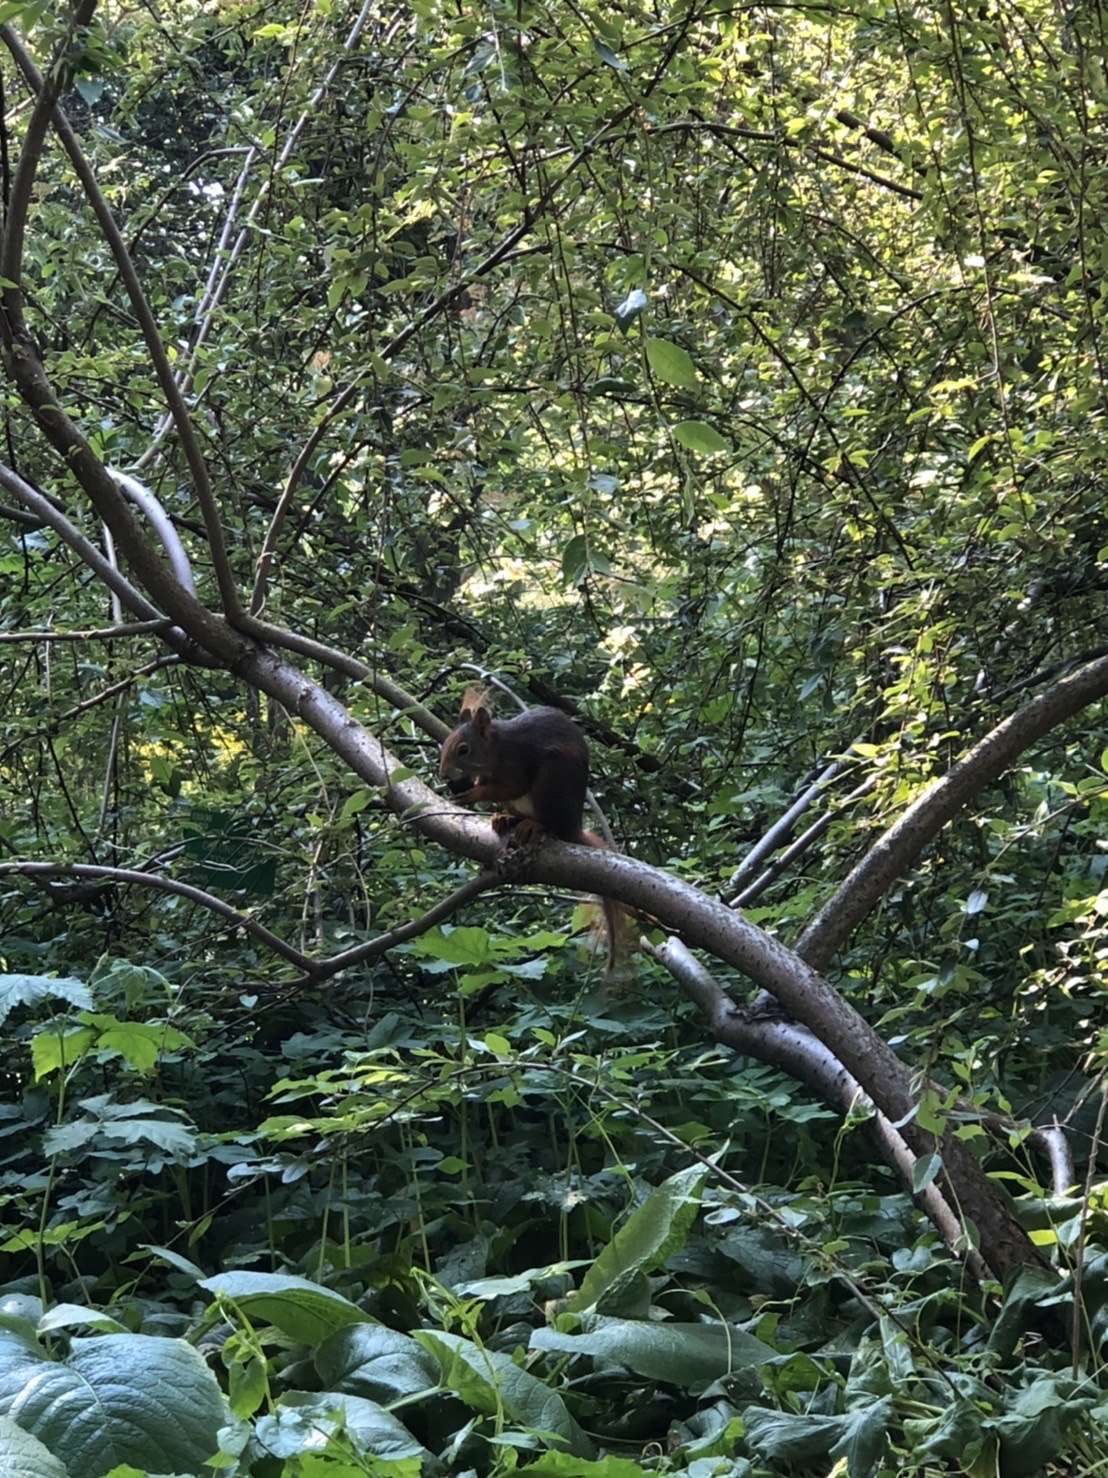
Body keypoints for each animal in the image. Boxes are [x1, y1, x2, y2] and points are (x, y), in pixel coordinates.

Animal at [443, 691, 632, 981]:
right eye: (444, 745)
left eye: (464, 749)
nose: (443, 775)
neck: (496, 750)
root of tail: (573, 826)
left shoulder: (516, 764)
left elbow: (512, 786)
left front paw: (474, 793)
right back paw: (505, 819)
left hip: (552, 778)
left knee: (551, 824)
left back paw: (536, 826)